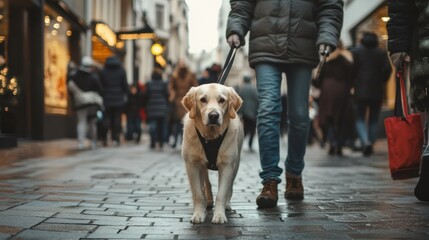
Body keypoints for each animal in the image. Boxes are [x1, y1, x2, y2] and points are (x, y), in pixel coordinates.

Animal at [180, 83, 242, 224]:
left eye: (222, 100)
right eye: (203, 99)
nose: (213, 115)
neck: (210, 136)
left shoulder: (227, 165)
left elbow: (222, 193)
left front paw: (219, 215)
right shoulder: (192, 165)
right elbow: (198, 193)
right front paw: (198, 214)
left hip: (236, 165)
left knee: (229, 187)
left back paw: (227, 204)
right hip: (202, 166)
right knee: (206, 183)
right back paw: (207, 202)